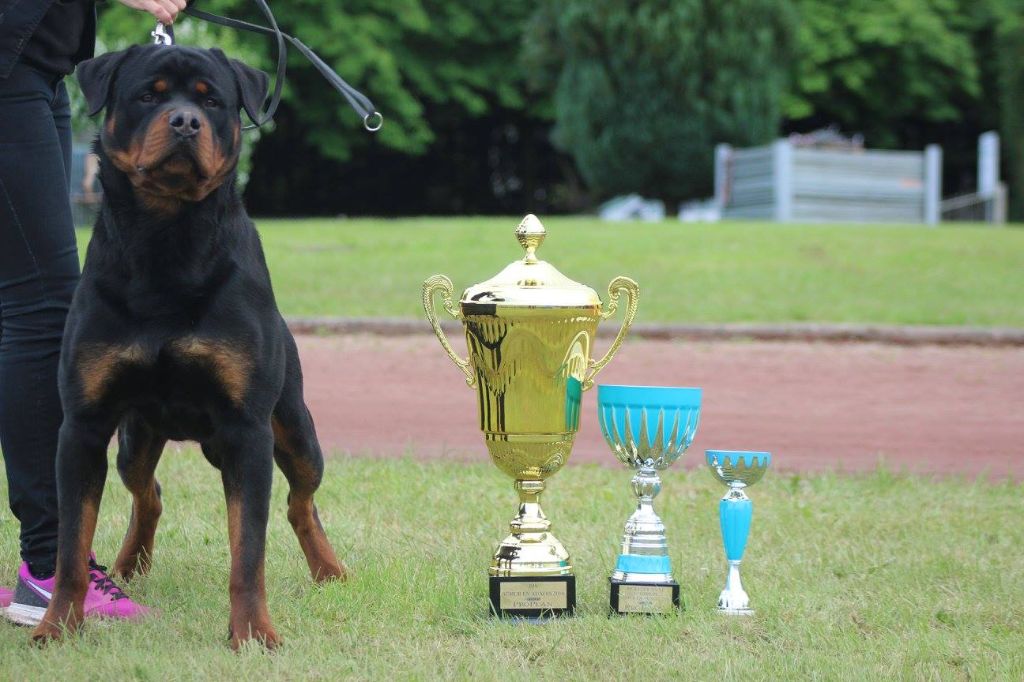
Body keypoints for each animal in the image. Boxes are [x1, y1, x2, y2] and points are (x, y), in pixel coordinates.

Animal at [29, 45, 348, 647]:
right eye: (148, 95)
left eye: (211, 100)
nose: (183, 122)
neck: (166, 239)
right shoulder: (82, 425)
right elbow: (70, 547)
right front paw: (56, 627)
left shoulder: (247, 429)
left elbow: (249, 550)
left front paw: (253, 634)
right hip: (135, 438)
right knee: (147, 492)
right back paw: (129, 564)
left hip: (294, 428)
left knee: (301, 501)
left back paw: (330, 570)